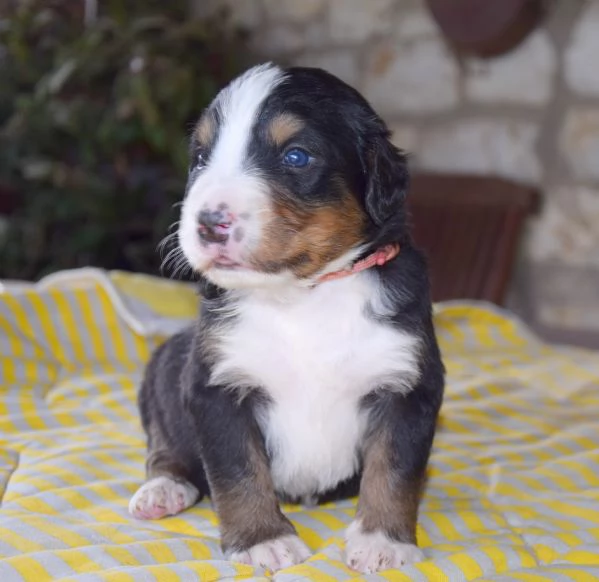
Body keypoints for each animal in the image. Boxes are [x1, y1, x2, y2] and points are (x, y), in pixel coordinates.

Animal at [127, 64, 446, 576]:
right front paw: (263, 540)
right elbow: (239, 472)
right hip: (164, 371)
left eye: (296, 155)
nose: (207, 222)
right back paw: (163, 490)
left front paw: (382, 540)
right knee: (165, 447)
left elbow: (394, 470)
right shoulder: (215, 385)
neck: (301, 297)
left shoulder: (408, 383)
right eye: (201, 158)